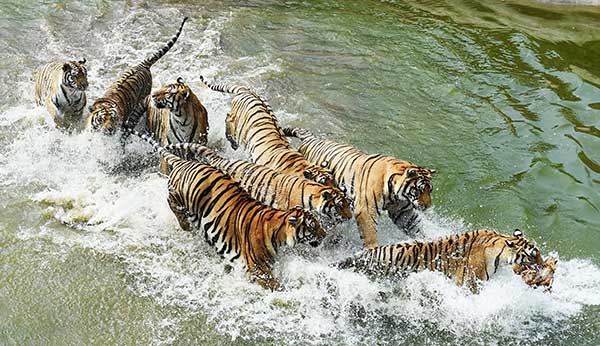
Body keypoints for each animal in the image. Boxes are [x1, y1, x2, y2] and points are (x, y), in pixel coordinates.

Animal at [129, 128, 328, 290]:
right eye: (313, 226)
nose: (325, 234)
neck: (279, 233)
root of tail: (185, 163)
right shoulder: (257, 269)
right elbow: (275, 286)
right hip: (188, 192)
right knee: (171, 199)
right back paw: (184, 223)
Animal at [198, 75, 336, 188]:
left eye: (334, 181)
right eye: (324, 183)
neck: (301, 166)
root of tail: (248, 91)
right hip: (235, 122)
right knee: (228, 122)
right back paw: (233, 143)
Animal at [284, 127, 434, 249]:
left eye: (430, 190)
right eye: (420, 189)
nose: (428, 206)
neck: (394, 194)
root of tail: (312, 138)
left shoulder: (402, 210)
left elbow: (413, 225)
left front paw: (427, 241)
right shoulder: (366, 210)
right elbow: (370, 233)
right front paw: (373, 249)